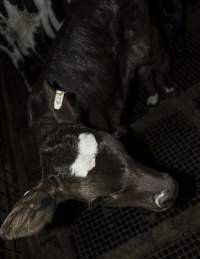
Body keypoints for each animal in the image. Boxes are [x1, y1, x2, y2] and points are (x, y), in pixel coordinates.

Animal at [0, 0, 178, 241]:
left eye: (122, 148)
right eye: (101, 199)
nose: (169, 192)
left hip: (148, 38)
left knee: (160, 64)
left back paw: (168, 89)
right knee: (143, 73)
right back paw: (152, 96)